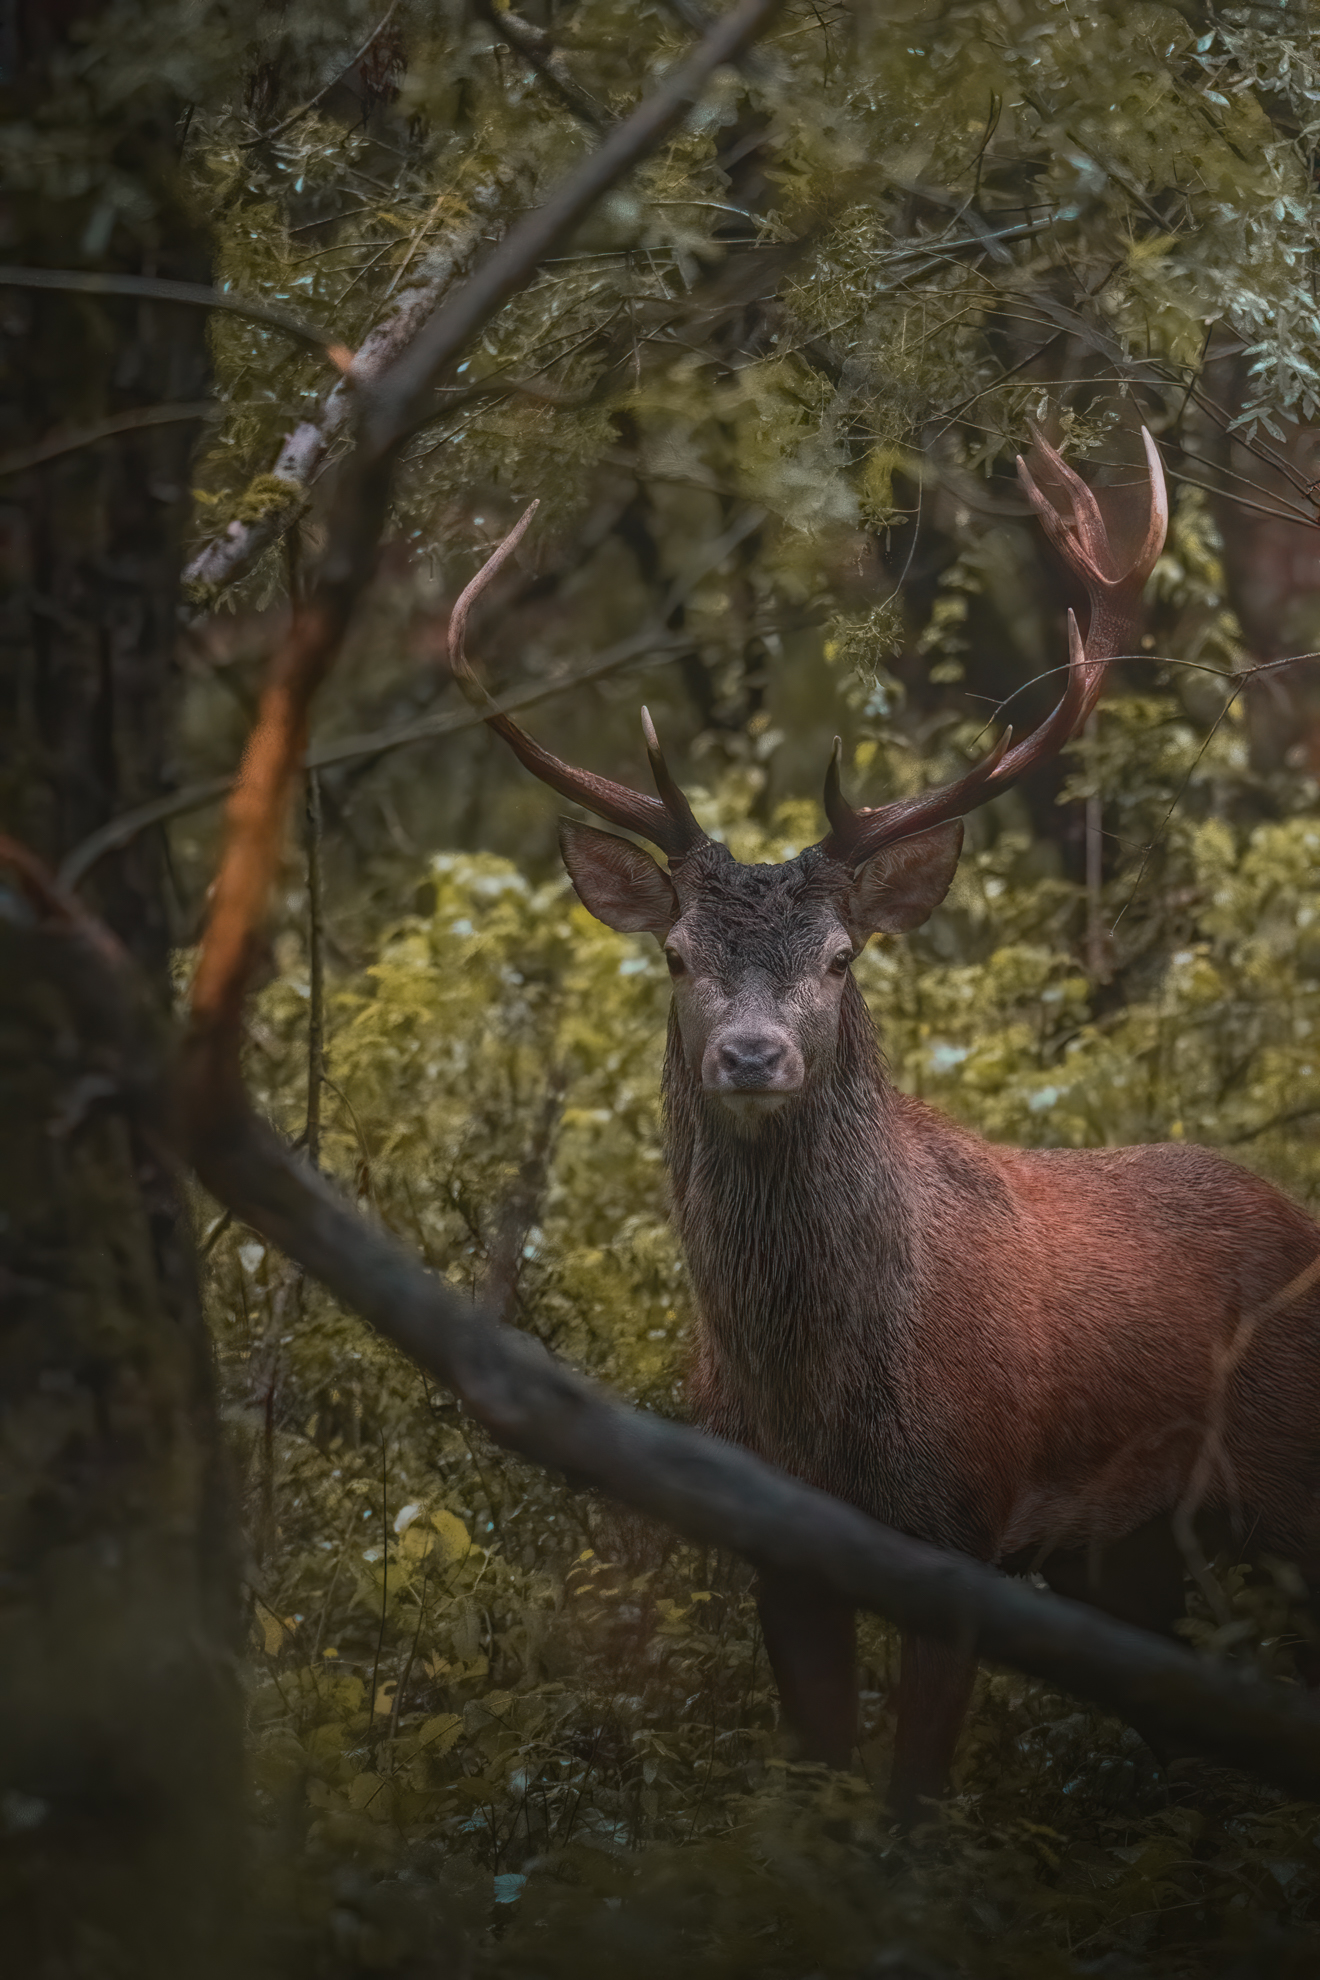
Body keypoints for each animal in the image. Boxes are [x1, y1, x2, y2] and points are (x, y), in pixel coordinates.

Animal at [449, 432, 1320, 1817]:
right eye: (679, 956)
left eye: (844, 955)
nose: (755, 1055)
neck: (824, 1408)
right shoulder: (779, 1545)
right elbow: (823, 1777)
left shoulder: (964, 1524)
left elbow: (911, 1805)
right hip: (1129, 1556)